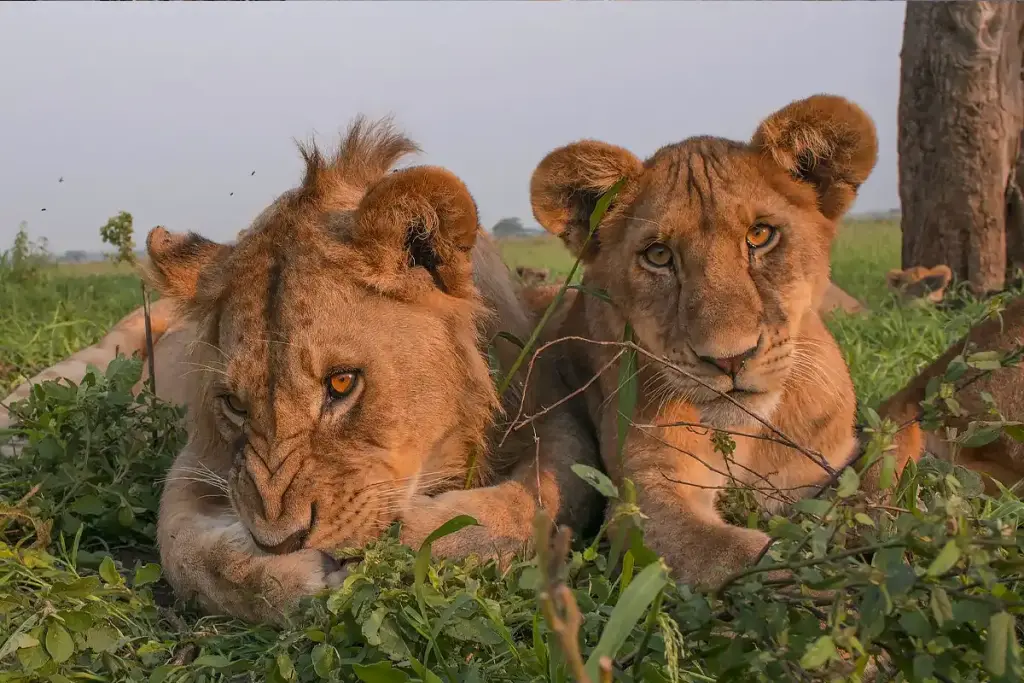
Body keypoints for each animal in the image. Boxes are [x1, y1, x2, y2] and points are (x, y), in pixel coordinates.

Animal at [2, 118, 603, 624]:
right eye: (234, 404)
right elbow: (183, 552)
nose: (280, 541)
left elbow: (545, 498)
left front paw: (424, 538)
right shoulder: (198, 460)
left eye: (342, 383)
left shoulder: (549, 412)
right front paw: (289, 579)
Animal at [527, 94, 922, 588]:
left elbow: (873, 481)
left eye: (760, 235)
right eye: (659, 255)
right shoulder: (641, 495)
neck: (749, 435)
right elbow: (732, 555)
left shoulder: (828, 460)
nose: (730, 360)